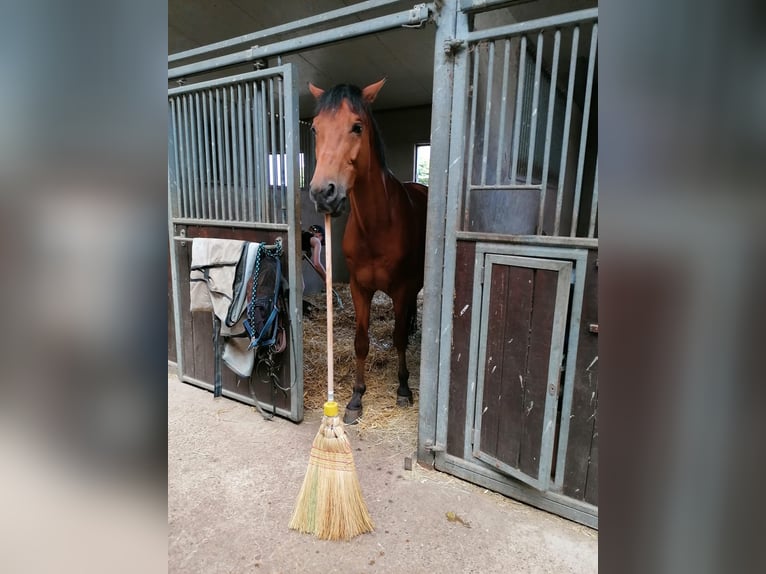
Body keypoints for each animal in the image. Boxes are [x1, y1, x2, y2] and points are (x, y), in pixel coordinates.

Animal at [310, 79, 432, 426]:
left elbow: (398, 336)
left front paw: (403, 388)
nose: (323, 193)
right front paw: (355, 398)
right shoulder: (359, 288)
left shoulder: (402, 289)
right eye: (315, 128)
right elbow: (361, 342)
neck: (377, 225)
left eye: (357, 126)